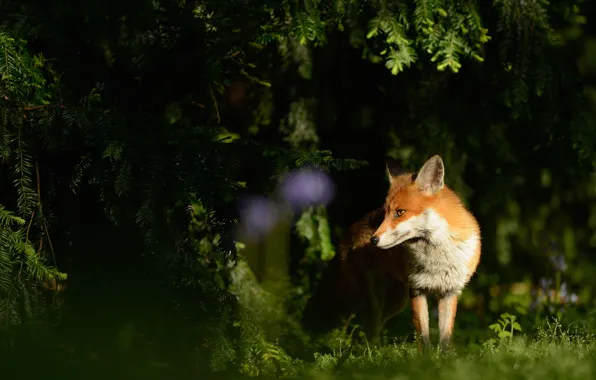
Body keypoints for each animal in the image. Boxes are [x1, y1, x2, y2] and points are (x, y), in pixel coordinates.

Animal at [302, 154, 480, 354]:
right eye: (385, 213)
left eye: (400, 212)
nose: (373, 239)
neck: (437, 256)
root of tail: (350, 230)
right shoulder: (417, 290)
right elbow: (423, 337)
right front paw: (426, 360)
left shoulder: (449, 292)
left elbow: (445, 340)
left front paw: (444, 360)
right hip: (377, 300)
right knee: (366, 328)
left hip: (396, 302)